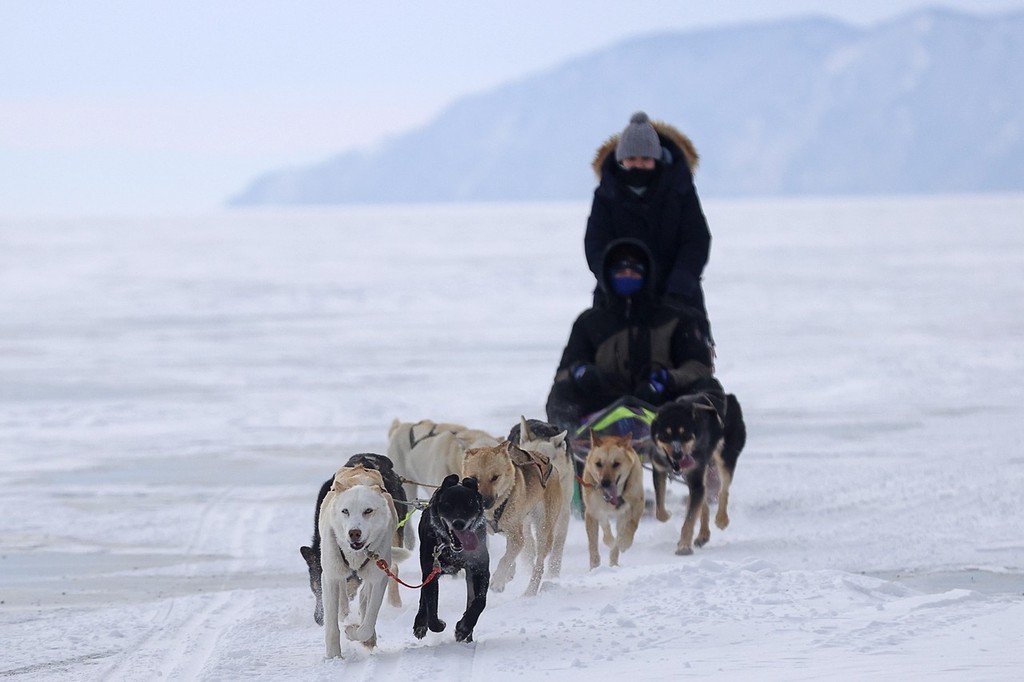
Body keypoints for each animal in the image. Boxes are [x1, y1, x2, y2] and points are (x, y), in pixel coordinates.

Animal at [319, 475, 399, 655]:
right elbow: (331, 624)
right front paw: (333, 656)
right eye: (345, 511)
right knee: (343, 595)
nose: (354, 533)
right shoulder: (329, 577)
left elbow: (367, 624)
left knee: (363, 598)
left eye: (368, 511)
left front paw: (353, 631)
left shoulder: (379, 578)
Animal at [413, 473, 489, 638]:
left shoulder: (480, 570)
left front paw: (464, 627)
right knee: (424, 596)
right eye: (447, 505)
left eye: (469, 505)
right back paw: (420, 622)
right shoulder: (431, 571)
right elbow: (431, 607)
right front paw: (437, 624)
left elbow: (480, 602)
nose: (458, 523)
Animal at [462, 438, 565, 593]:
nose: (484, 502)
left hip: (543, 530)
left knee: (539, 566)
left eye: (495, 477)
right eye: (474, 478)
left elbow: (505, 559)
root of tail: (547, 461)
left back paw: (530, 592)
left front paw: (498, 580)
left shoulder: (517, 537)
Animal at [581, 430, 643, 569]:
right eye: (598, 464)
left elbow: (632, 524)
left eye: (616, 464)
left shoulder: (637, 503)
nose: (605, 483)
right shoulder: (592, 511)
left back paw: (615, 560)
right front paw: (594, 566)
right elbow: (594, 541)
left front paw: (624, 542)